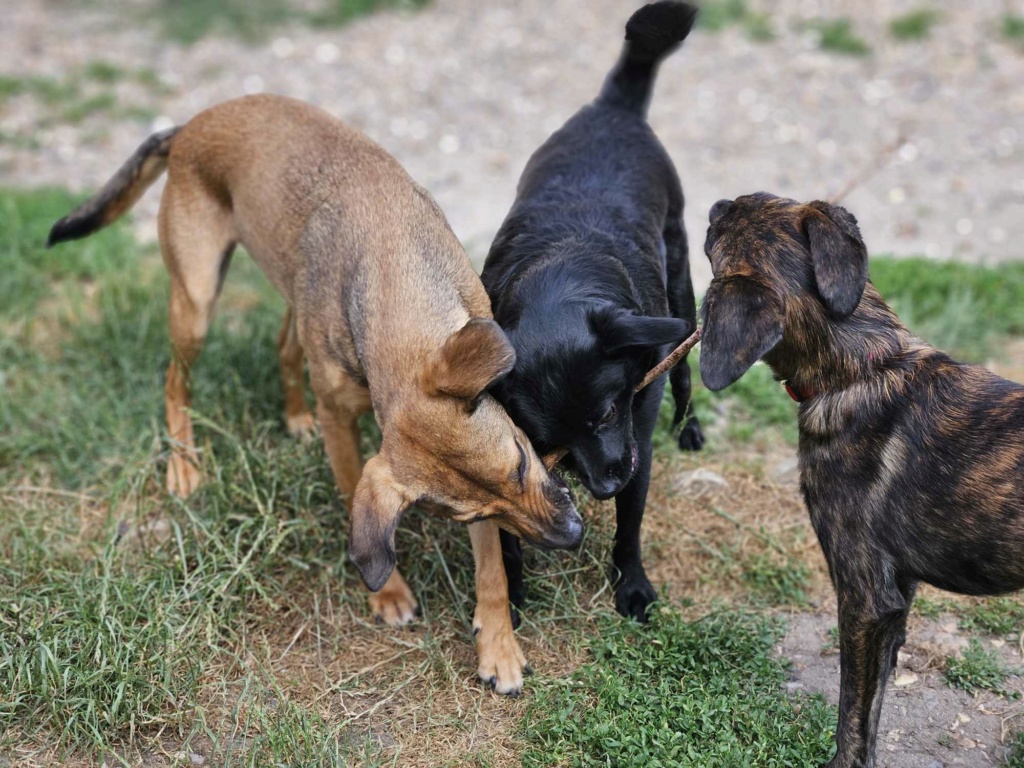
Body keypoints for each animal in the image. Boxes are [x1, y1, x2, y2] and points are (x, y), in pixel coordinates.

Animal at [48, 93, 581, 696]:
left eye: (520, 463)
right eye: (467, 515)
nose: (572, 536)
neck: (391, 273)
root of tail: (191, 126)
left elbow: (491, 567)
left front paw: (498, 643)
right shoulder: (345, 428)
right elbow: (358, 505)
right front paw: (388, 593)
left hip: (284, 286)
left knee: (284, 346)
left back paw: (292, 416)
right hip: (196, 300)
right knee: (174, 380)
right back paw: (184, 462)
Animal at [479, 1, 704, 626]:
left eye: (606, 412)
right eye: (545, 436)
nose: (604, 486)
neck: (560, 269)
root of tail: (613, 108)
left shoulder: (635, 443)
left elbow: (630, 527)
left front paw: (632, 586)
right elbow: (507, 534)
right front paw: (510, 594)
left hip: (681, 280)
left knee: (683, 369)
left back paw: (690, 426)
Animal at [700, 193, 1024, 768]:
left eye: (720, 232)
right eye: (763, 198)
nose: (716, 203)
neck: (861, 366)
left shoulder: (863, 598)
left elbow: (851, 716)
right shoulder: (896, 599)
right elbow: (871, 711)